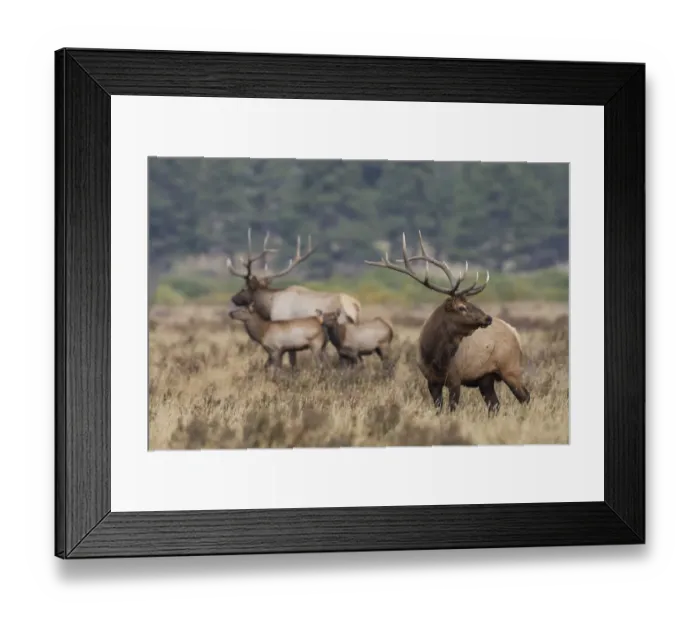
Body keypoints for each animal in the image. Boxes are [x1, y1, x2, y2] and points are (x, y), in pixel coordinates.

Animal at [364, 231, 531, 415]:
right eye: (461, 307)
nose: (488, 318)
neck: (435, 358)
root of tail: (514, 332)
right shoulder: (431, 381)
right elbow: (438, 409)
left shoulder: (455, 379)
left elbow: (452, 409)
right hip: (485, 378)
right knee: (495, 405)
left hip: (511, 368)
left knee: (525, 397)